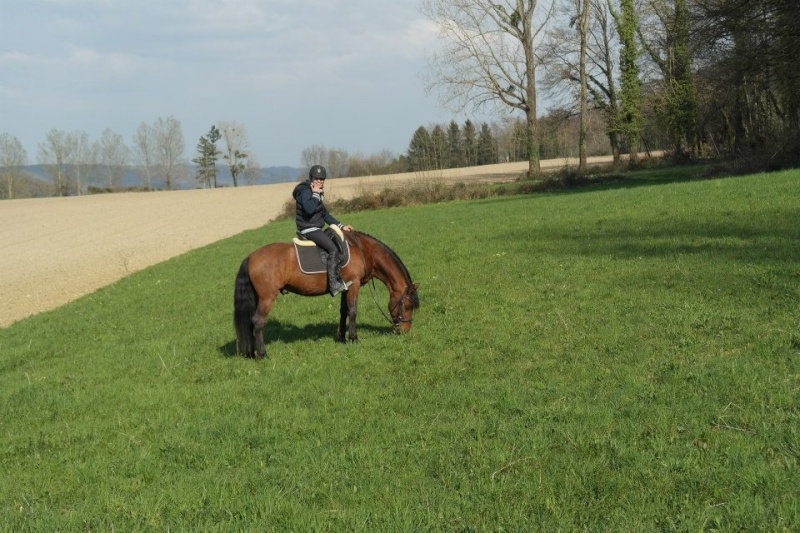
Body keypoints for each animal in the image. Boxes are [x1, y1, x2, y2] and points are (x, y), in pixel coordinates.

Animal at [231, 229, 418, 358]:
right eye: (408, 306)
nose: (405, 331)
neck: (363, 250)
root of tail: (250, 257)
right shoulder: (354, 285)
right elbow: (353, 311)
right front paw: (354, 338)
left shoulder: (346, 287)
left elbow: (343, 312)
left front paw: (342, 337)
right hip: (267, 298)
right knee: (258, 322)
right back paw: (263, 354)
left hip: (257, 298)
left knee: (250, 322)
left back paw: (251, 353)